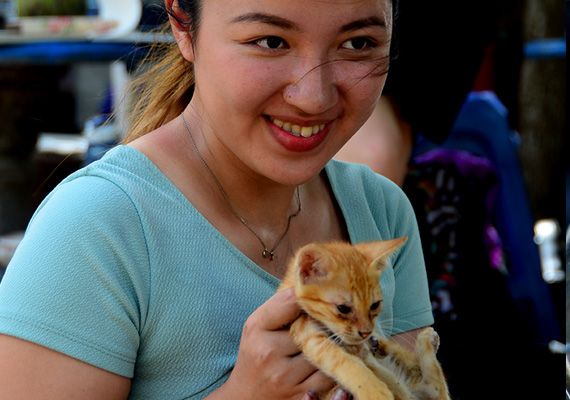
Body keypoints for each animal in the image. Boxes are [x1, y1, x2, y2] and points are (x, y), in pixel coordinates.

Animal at [278, 238, 450, 400]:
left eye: (375, 305)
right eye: (343, 308)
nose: (366, 333)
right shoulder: (307, 334)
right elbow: (341, 361)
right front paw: (373, 390)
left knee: (433, 389)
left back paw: (425, 341)